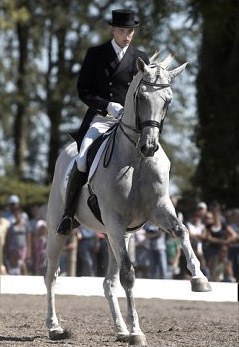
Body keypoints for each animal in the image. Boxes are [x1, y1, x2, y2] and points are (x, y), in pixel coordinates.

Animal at [44, 54, 211, 346]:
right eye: (141, 97)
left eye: (168, 100)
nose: (149, 147)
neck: (137, 161)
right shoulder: (115, 219)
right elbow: (129, 275)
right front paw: (136, 332)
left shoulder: (158, 209)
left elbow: (182, 230)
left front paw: (199, 279)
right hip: (62, 229)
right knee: (52, 275)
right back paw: (55, 328)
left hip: (116, 236)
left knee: (108, 282)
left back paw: (120, 330)